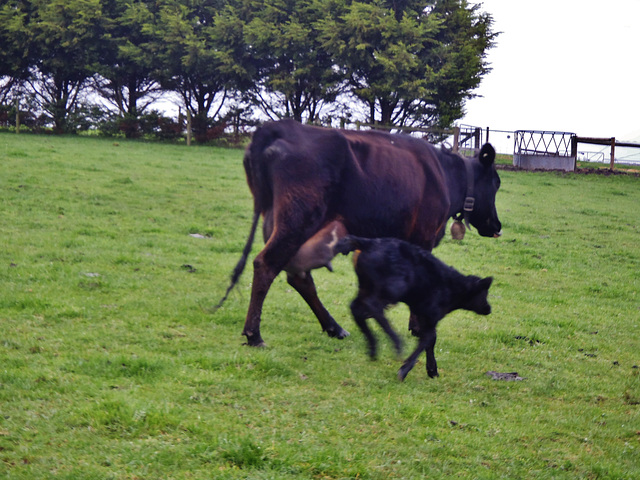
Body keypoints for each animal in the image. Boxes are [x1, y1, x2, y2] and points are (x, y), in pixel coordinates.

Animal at [220, 119, 504, 344]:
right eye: (496, 182)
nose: (497, 226)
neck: (445, 175)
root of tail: (279, 127)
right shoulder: (423, 236)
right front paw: (418, 326)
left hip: (279, 219)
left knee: (298, 276)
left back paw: (334, 328)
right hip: (297, 219)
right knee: (267, 264)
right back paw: (254, 334)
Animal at [336, 234, 496, 380]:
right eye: (484, 294)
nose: (489, 309)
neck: (452, 287)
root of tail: (367, 243)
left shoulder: (421, 313)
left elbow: (430, 339)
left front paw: (432, 370)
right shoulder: (431, 314)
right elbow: (429, 338)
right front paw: (406, 369)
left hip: (366, 287)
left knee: (356, 308)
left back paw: (373, 347)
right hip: (391, 289)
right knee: (371, 305)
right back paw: (396, 342)